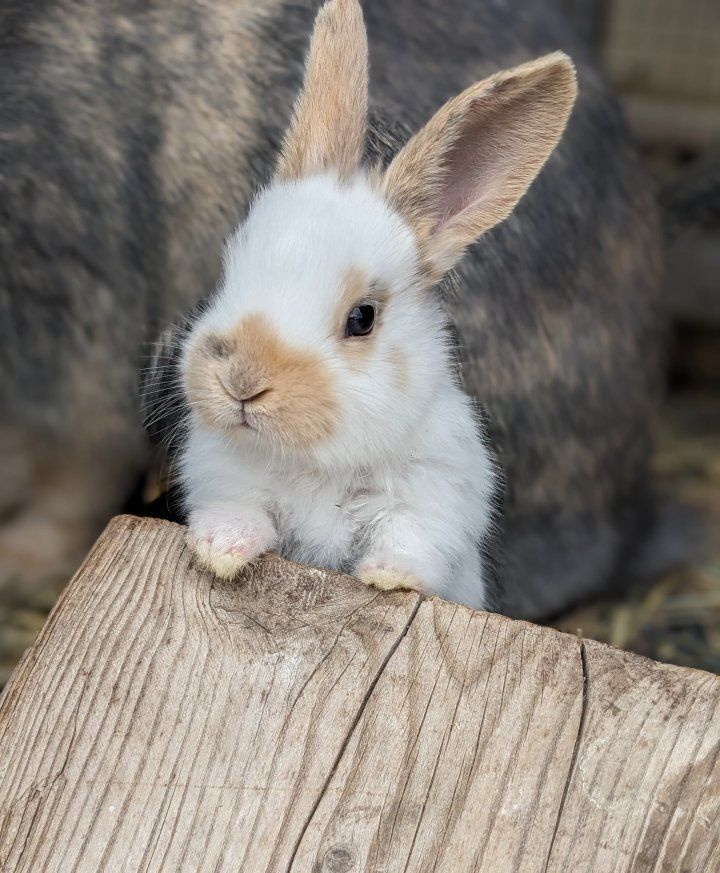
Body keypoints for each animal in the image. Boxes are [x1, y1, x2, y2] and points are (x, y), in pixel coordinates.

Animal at [177, 0, 577, 609]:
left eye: (362, 318)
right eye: (230, 270)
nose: (241, 381)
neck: (321, 464)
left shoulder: (435, 493)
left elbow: (409, 537)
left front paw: (390, 576)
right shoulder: (227, 476)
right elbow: (242, 508)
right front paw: (221, 547)